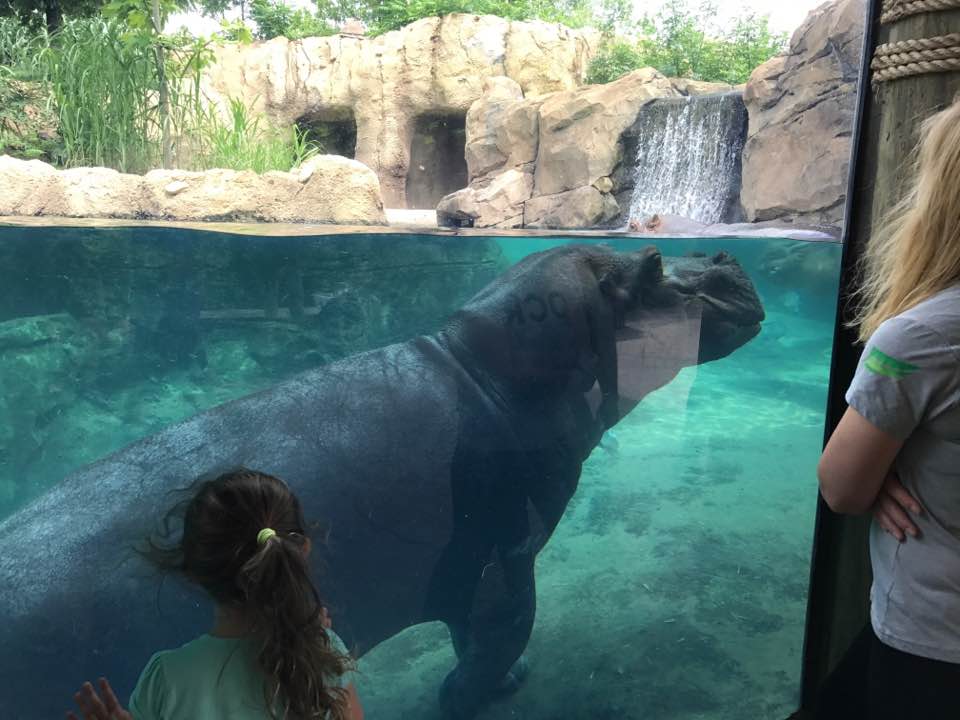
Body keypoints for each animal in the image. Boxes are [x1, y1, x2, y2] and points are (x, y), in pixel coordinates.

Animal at [0, 244, 764, 719]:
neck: (478, 368)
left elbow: (475, 636)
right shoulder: (504, 553)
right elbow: (501, 630)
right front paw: (465, 698)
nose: (725, 256)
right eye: (654, 269)